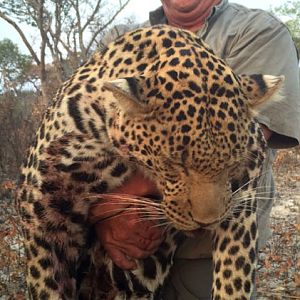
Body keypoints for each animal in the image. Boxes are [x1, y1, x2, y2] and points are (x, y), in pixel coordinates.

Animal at [16, 24, 284, 298]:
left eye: (231, 165)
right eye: (173, 165)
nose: (206, 223)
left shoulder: (244, 190)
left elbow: (233, 274)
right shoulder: (42, 217)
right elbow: (46, 285)